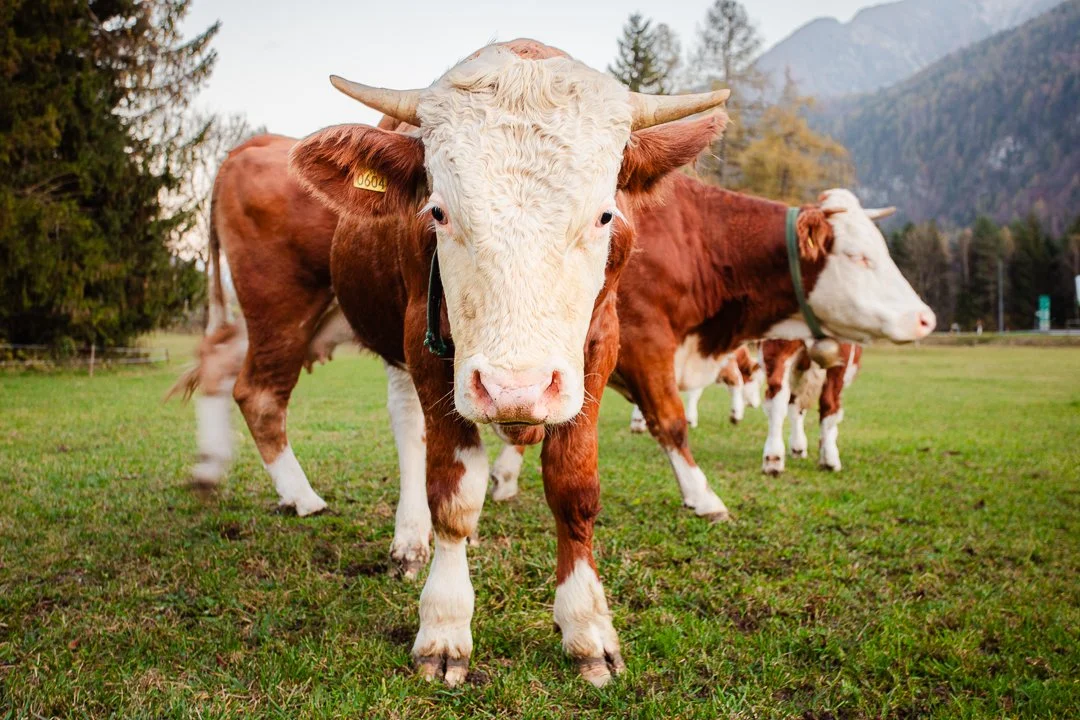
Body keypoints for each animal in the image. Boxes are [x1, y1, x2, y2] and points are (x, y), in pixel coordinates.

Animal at [175, 39, 732, 687]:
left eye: (604, 215)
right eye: (438, 212)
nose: (516, 387)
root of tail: (254, 146)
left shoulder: (600, 344)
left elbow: (574, 487)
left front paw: (587, 626)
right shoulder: (428, 345)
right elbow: (455, 492)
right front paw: (444, 627)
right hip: (278, 312)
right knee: (258, 392)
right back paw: (301, 496)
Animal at [760, 339, 862, 474]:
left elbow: (795, 405)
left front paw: (797, 447)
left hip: (775, 348)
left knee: (777, 396)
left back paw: (773, 458)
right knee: (829, 403)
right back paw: (830, 459)